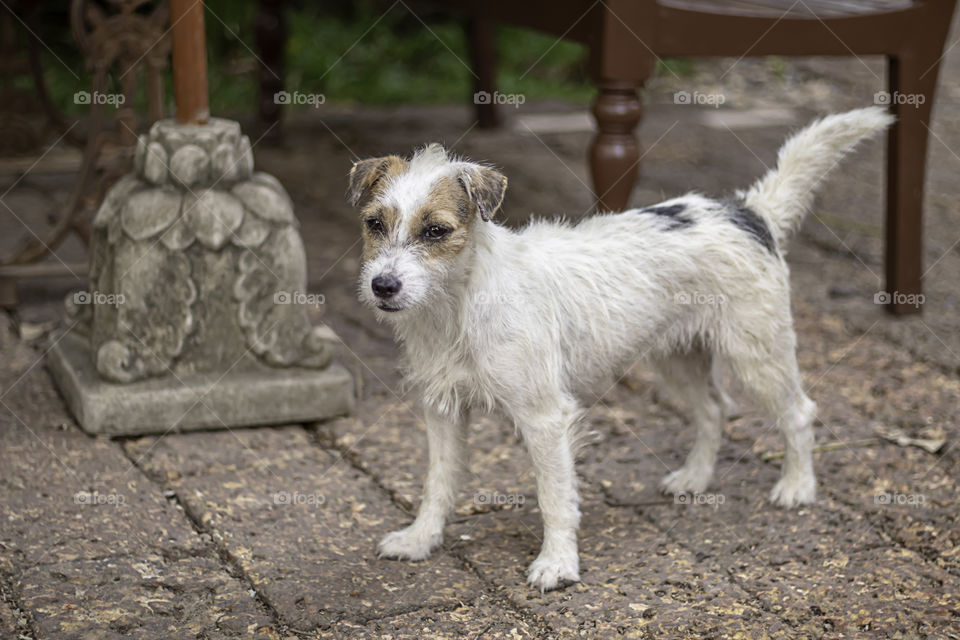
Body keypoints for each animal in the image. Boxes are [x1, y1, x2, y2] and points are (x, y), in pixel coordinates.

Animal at [348, 107, 896, 592]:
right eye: (374, 224)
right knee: (714, 409)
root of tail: (746, 210)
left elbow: (554, 497)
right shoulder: (442, 410)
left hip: (757, 353)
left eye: (436, 230)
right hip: (678, 358)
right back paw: (695, 477)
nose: (383, 286)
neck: (456, 304)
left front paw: (557, 564)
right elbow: (437, 482)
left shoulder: (545, 419)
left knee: (798, 411)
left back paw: (798, 486)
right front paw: (421, 539)